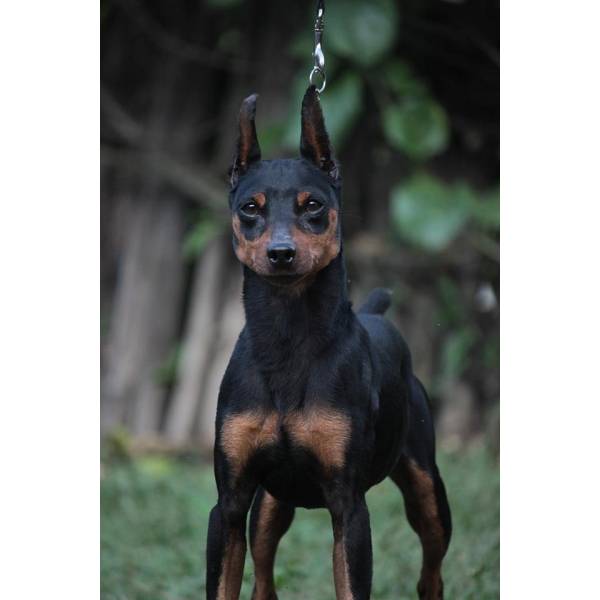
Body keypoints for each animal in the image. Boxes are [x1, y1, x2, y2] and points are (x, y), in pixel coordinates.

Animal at [206, 85, 450, 600]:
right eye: (250, 207)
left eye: (313, 205)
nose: (280, 253)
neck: (286, 336)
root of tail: (376, 315)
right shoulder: (230, 504)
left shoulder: (348, 505)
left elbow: (351, 583)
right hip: (270, 506)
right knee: (264, 576)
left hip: (427, 489)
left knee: (432, 569)